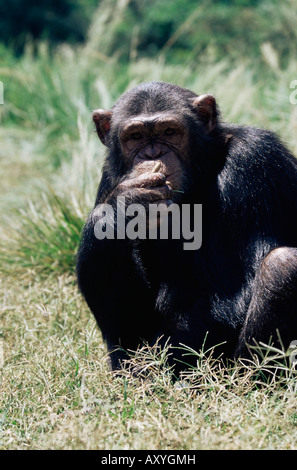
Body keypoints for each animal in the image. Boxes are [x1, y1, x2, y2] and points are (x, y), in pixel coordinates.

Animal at [75, 81, 296, 374]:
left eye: (169, 132)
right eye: (135, 136)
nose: (153, 153)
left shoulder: (255, 161)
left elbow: (236, 290)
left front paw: (155, 366)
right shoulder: (109, 178)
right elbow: (127, 319)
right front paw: (124, 204)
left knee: (281, 267)